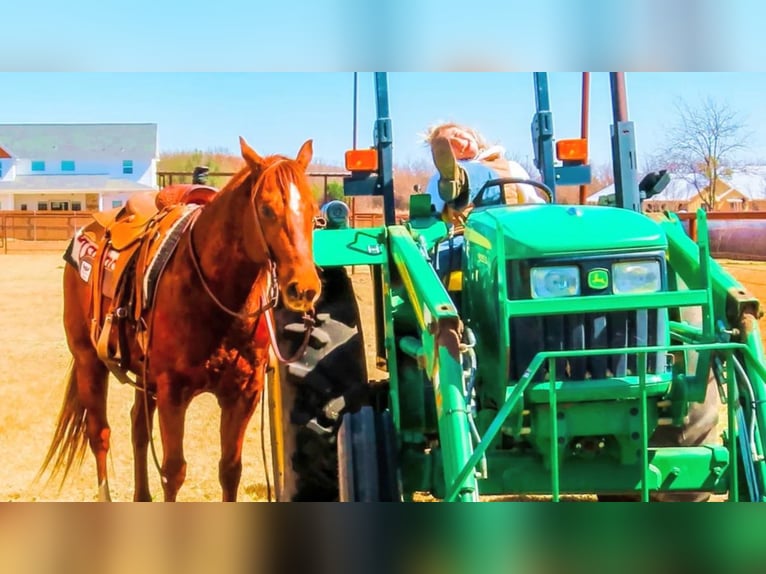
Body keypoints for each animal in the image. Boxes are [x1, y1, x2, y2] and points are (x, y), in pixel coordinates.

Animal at [38, 137, 320, 502]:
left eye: (314, 212)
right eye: (267, 209)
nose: (305, 288)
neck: (218, 298)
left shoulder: (244, 393)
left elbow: (231, 469)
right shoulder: (173, 393)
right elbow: (173, 472)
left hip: (144, 375)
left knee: (137, 427)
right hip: (89, 359)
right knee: (99, 434)